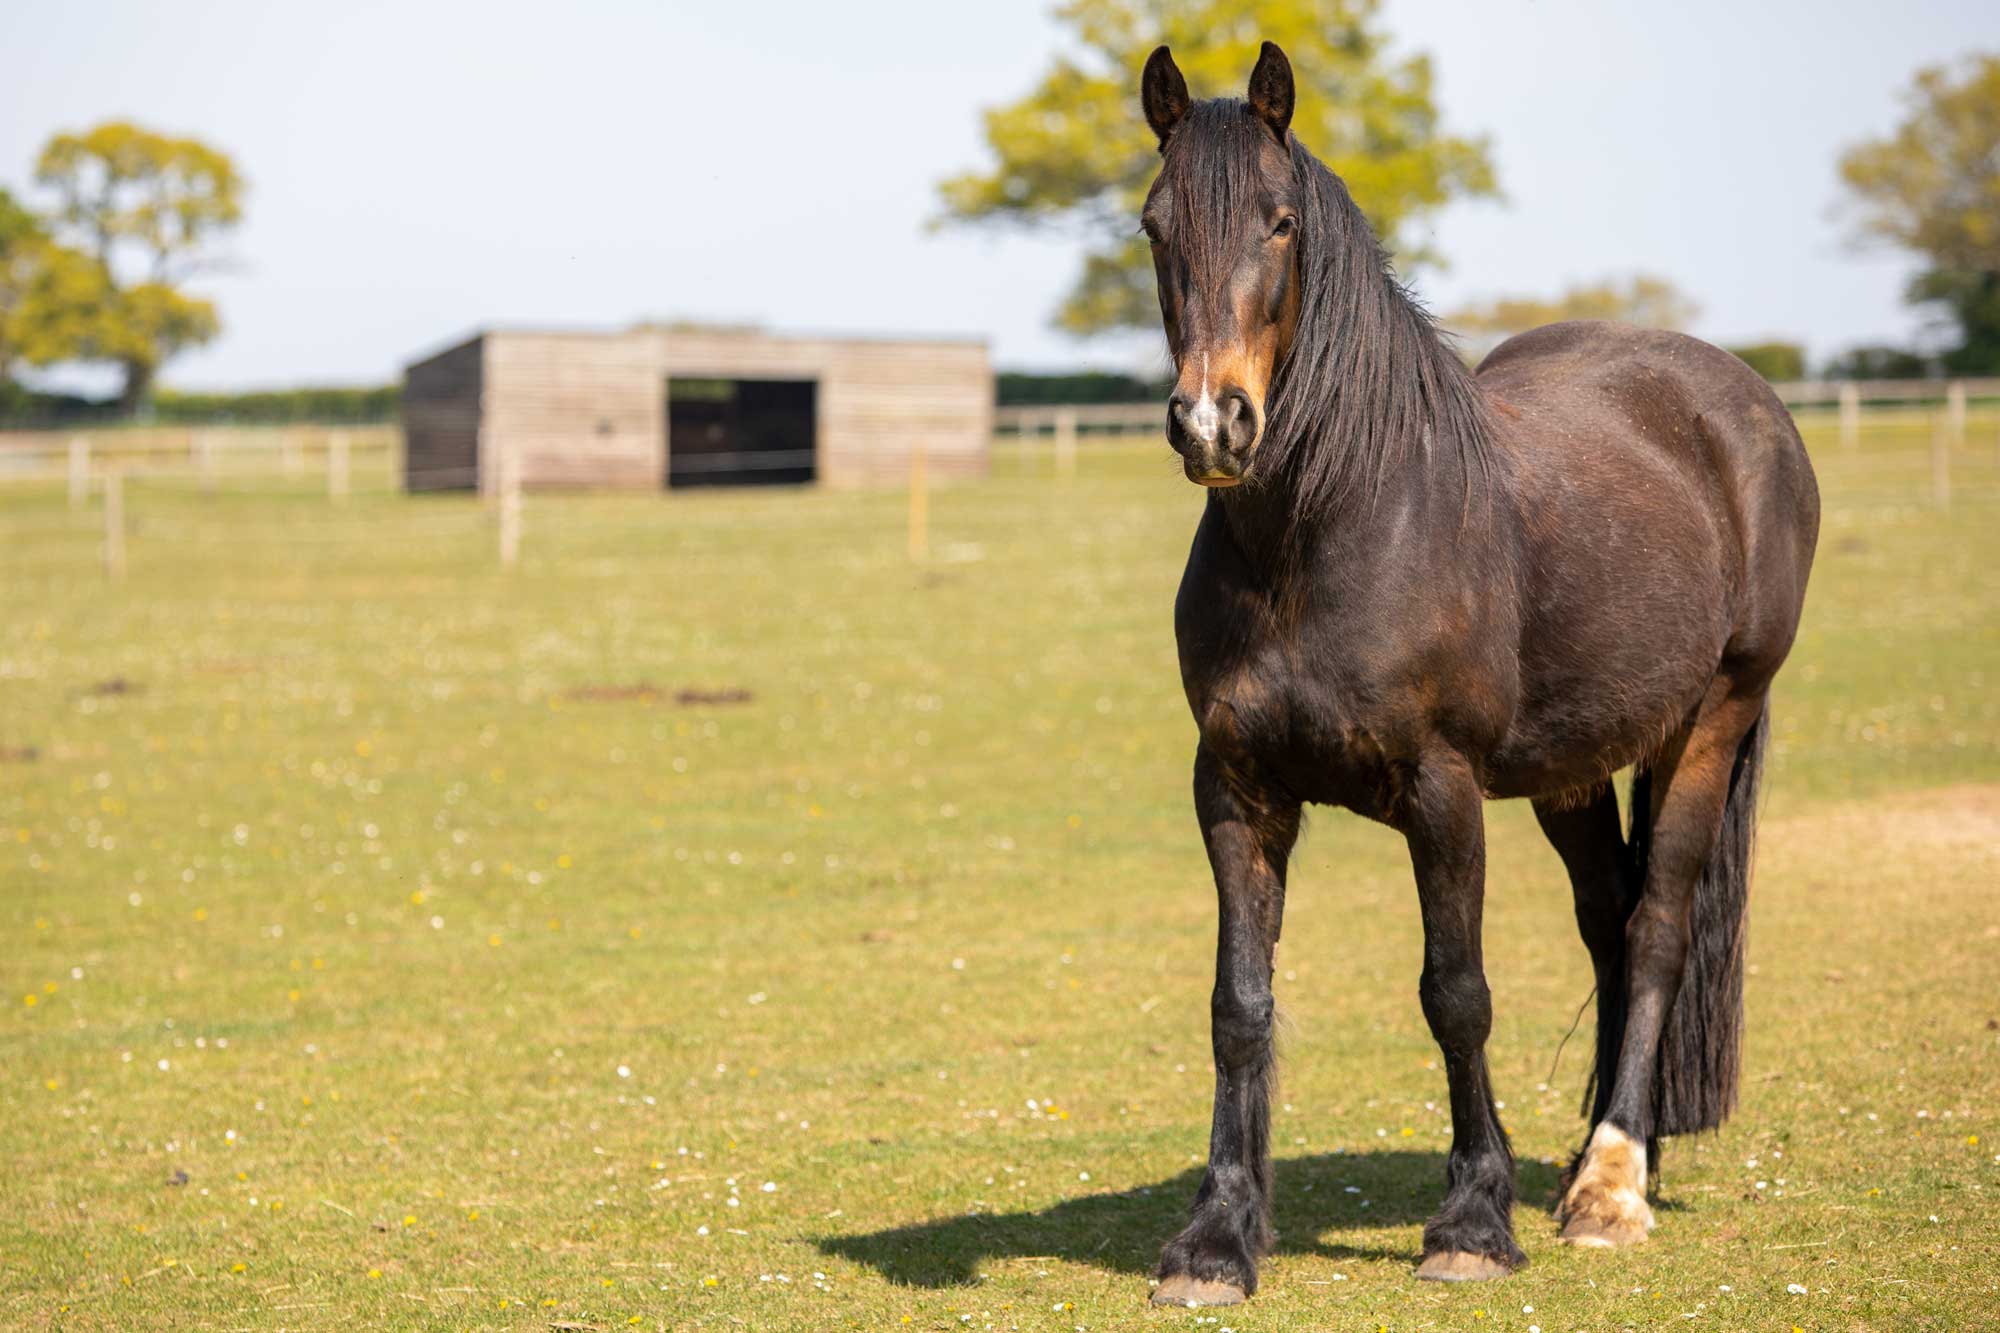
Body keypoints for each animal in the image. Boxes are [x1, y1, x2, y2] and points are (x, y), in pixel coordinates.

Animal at [1144, 41, 1816, 1296]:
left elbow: (1453, 994)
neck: (1334, 526)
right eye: (1154, 224)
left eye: (1278, 222)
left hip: (1708, 721)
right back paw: (1603, 1154)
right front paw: (1215, 1238)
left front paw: (1467, 1222)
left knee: (1657, 925)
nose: (1213, 424)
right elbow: (1237, 1005)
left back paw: (1610, 1185)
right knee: (1609, 923)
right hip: (1569, 769)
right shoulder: (1236, 791)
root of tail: (1736, 399)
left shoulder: (1441, 791)